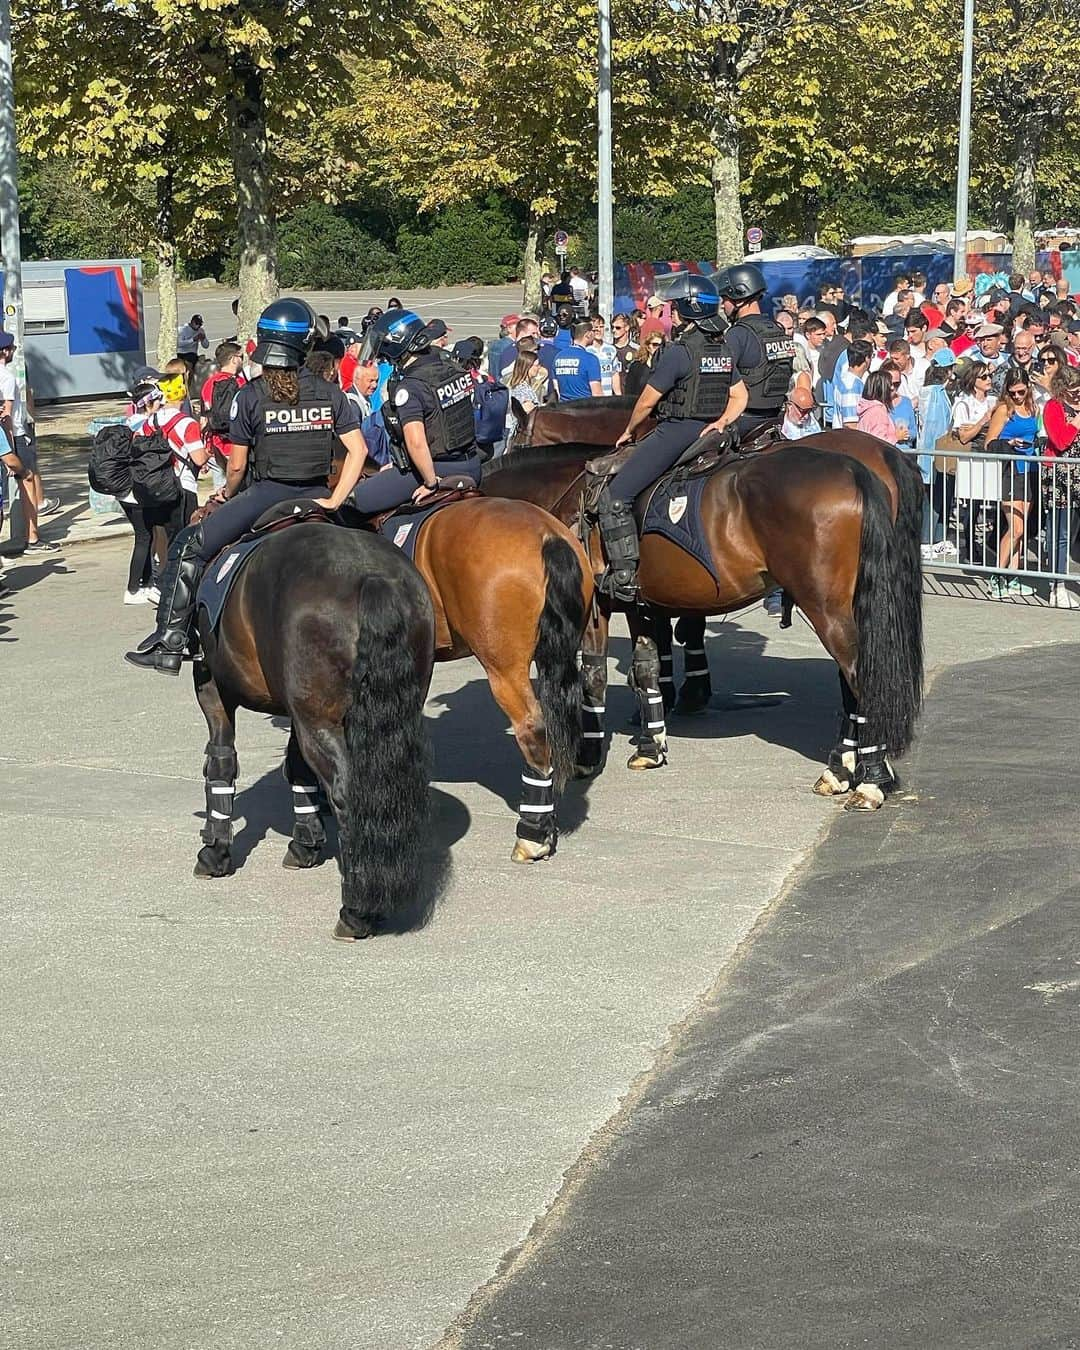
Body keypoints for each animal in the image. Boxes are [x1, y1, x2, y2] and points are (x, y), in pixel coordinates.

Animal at [194, 523, 434, 939]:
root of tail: (371, 575)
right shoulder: (295, 712)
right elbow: (296, 767)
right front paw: (305, 842)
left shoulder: (212, 688)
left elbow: (220, 764)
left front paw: (215, 851)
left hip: (317, 721)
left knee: (348, 795)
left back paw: (356, 909)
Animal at [486, 429, 923, 810]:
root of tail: (856, 469)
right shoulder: (640, 606)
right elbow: (646, 669)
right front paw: (651, 744)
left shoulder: (597, 608)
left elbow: (593, 679)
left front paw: (588, 755)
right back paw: (844, 770)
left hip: (827, 609)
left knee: (861, 677)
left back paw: (869, 780)